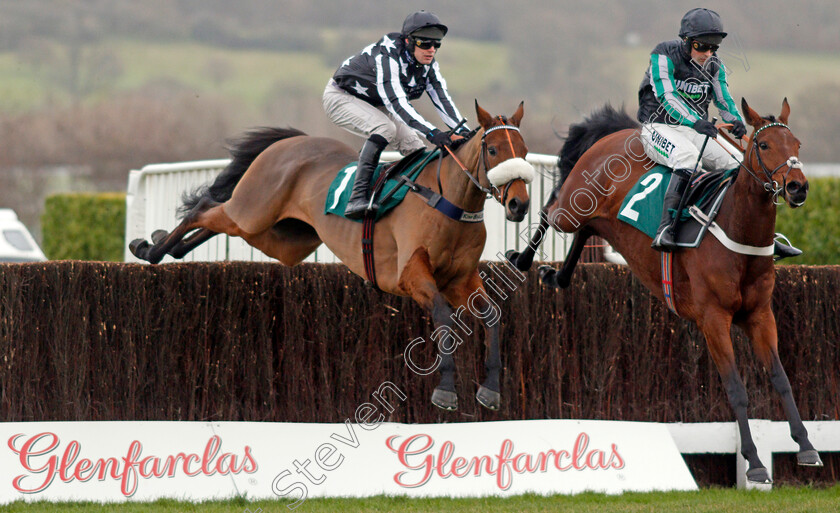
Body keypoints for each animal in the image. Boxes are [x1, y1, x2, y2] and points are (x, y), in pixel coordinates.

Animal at [133, 101, 532, 412]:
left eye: (525, 152)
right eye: (493, 151)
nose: (519, 204)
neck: (447, 203)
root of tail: (291, 142)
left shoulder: (461, 279)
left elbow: (492, 315)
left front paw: (491, 390)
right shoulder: (410, 275)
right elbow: (444, 316)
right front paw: (446, 392)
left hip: (282, 238)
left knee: (217, 224)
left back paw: (162, 245)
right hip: (253, 209)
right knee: (204, 208)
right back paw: (149, 249)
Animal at [508, 97, 824, 484]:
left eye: (797, 145)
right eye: (763, 145)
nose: (797, 187)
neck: (737, 231)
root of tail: (619, 133)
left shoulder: (760, 315)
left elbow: (781, 379)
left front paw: (807, 446)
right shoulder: (713, 319)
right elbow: (736, 389)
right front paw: (755, 462)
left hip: (598, 219)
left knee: (584, 231)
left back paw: (557, 277)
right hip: (572, 206)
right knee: (547, 210)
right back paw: (521, 259)